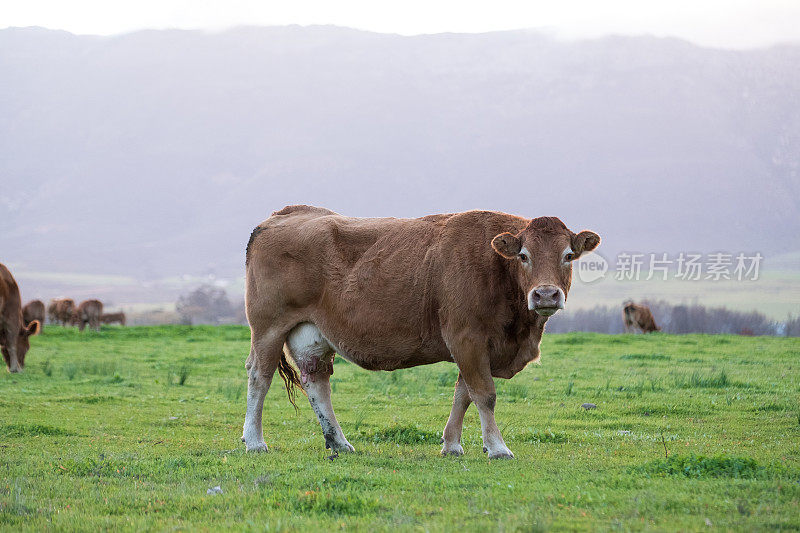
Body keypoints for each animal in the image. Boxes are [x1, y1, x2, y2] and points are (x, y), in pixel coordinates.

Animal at [244, 205, 600, 458]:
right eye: (524, 256)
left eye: (569, 256)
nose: (546, 295)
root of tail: (282, 215)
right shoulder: (466, 338)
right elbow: (484, 394)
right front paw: (497, 447)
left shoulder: (474, 347)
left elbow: (463, 394)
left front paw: (452, 445)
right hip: (268, 329)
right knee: (259, 377)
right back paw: (255, 441)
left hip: (313, 335)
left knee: (316, 382)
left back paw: (339, 442)